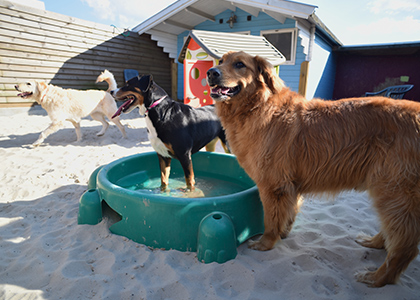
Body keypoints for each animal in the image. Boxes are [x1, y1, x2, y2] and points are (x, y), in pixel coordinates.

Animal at [207, 51, 420, 288]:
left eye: (239, 65)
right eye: (220, 61)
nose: (211, 73)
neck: (258, 106)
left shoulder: (273, 186)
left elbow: (270, 220)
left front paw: (266, 243)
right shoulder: (290, 186)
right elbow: (289, 213)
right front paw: (284, 233)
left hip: (393, 192)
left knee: (405, 245)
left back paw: (377, 277)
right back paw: (374, 243)